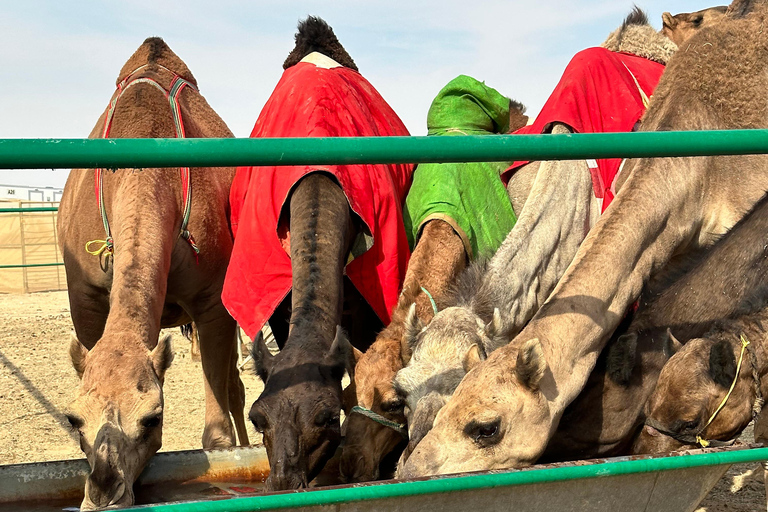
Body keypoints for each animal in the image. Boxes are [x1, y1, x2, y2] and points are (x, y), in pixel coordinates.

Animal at [59, 38, 248, 510]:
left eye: (152, 419)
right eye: (74, 419)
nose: (103, 493)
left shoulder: (212, 299)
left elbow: (216, 434)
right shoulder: (85, 299)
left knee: (235, 387)